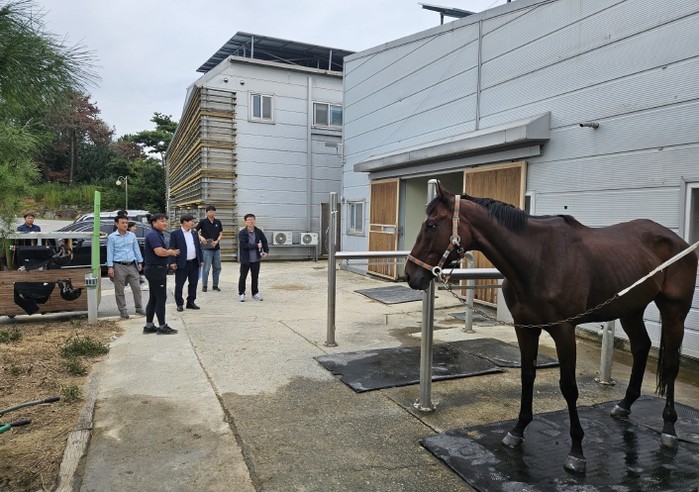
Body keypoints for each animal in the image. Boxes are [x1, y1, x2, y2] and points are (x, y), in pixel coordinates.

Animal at [404, 182, 697, 473]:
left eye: (431, 225)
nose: (410, 275)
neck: (537, 260)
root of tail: (680, 243)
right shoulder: (526, 328)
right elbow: (527, 376)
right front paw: (517, 431)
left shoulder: (563, 331)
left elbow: (568, 387)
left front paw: (576, 451)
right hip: (631, 310)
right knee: (641, 347)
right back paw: (624, 405)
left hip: (674, 312)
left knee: (670, 365)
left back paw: (669, 428)